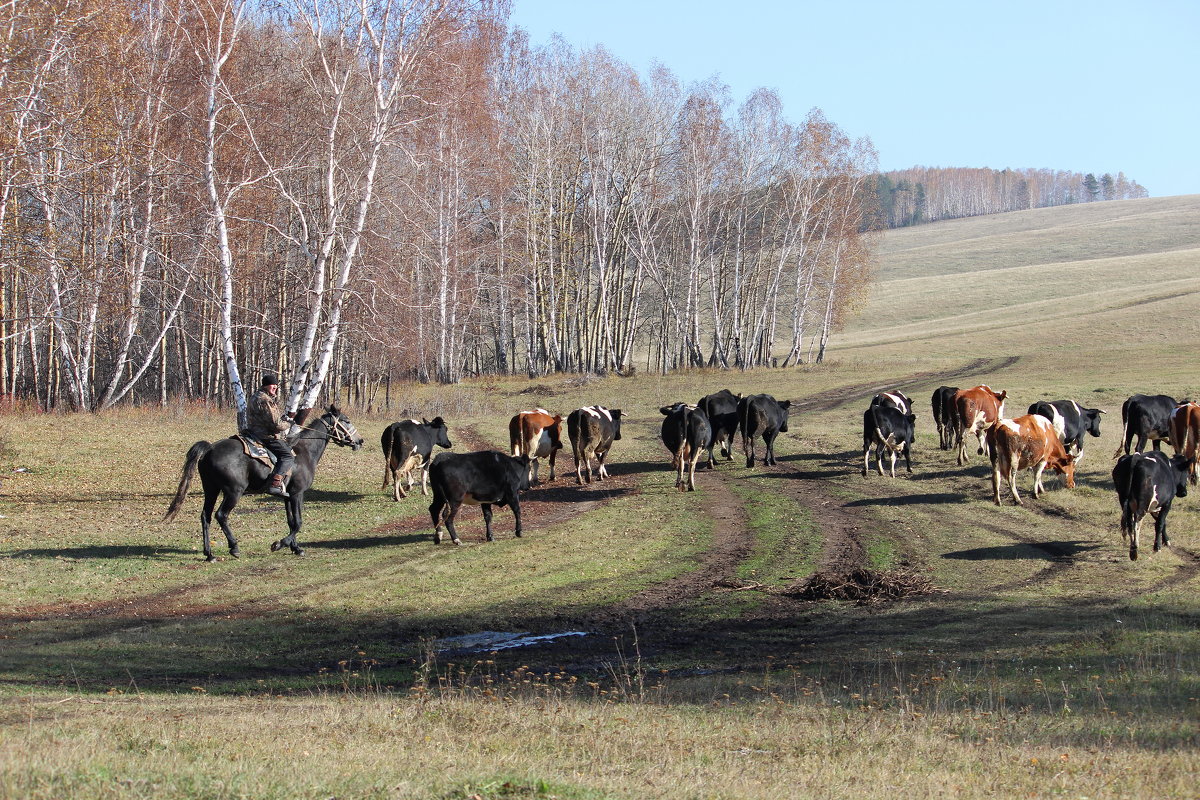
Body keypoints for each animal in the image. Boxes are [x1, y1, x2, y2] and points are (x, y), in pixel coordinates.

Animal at [163, 402, 364, 561]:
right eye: (346, 420)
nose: (360, 440)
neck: (304, 452)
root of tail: (210, 449)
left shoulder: (286, 496)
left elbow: (291, 522)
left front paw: (295, 548)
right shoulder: (297, 493)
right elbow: (298, 522)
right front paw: (280, 544)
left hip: (211, 490)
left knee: (206, 516)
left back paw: (209, 554)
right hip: (233, 492)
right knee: (221, 515)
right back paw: (234, 547)